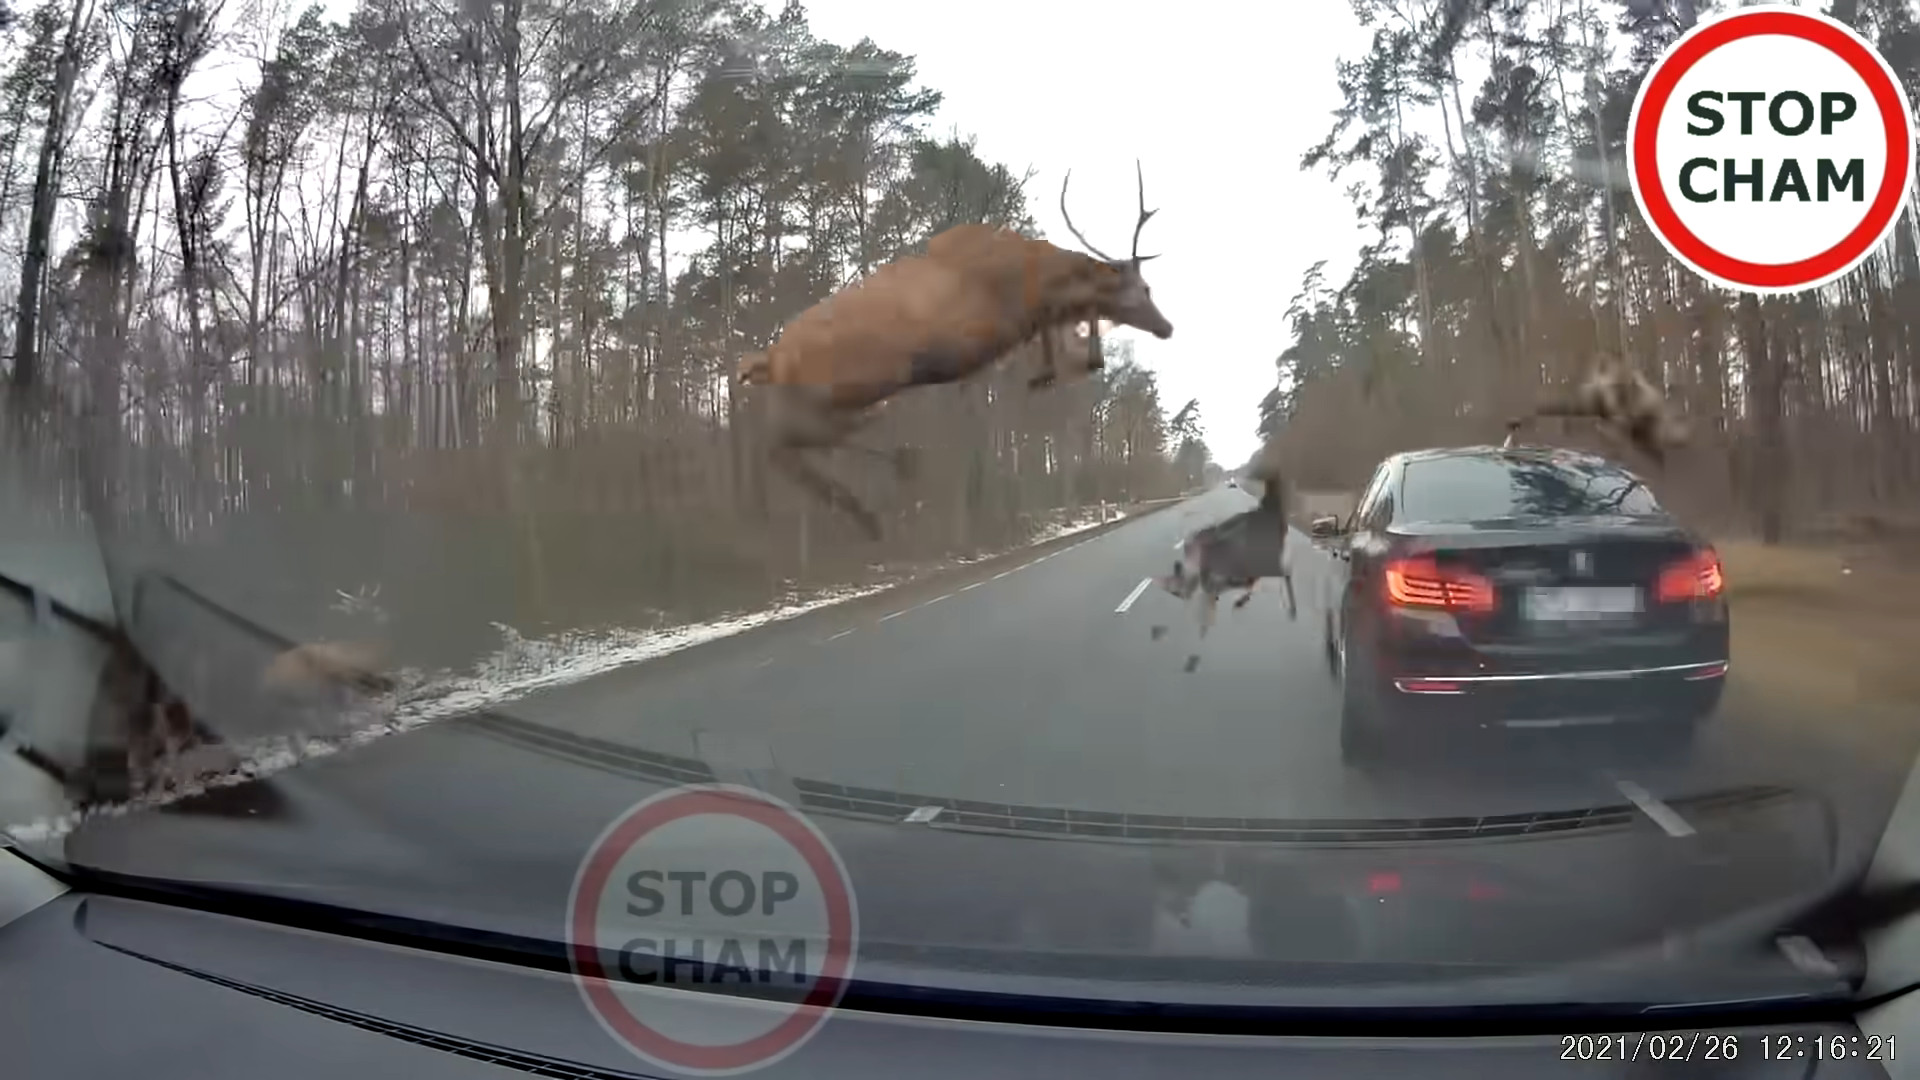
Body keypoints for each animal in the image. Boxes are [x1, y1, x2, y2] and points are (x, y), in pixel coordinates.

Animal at [729, 163, 1167, 538]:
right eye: (1144, 289)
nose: (1167, 327)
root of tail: (771, 358)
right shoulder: (1010, 317)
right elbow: (1074, 334)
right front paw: (1047, 371)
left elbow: (1077, 351)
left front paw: (1045, 374)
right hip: (859, 381)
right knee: (791, 442)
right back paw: (886, 483)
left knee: (791, 443)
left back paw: (876, 496)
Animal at [1144, 455, 1297, 672]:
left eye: (1174, 588)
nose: (1178, 594)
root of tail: (1268, 510)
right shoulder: (1223, 578)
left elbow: (1207, 615)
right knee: (1276, 574)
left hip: (1267, 556)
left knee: (1285, 573)